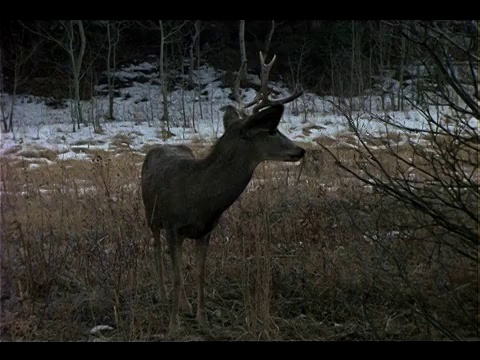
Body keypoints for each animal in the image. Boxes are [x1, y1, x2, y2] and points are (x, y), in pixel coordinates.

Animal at [141, 50, 304, 334]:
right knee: (157, 251)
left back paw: (184, 304)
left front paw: (202, 319)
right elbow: (177, 275)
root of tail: (159, 146)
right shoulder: (171, 225)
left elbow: (199, 273)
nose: (300, 150)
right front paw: (173, 326)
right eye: (272, 130)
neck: (199, 198)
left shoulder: (206, 230)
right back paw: (161, 295)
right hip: (150, 215)